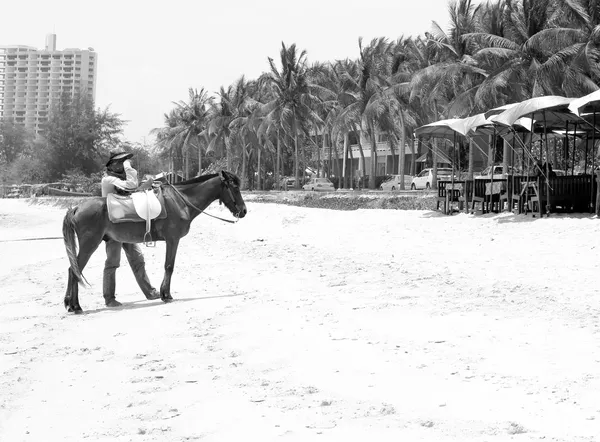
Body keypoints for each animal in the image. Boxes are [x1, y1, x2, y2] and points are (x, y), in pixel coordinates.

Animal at [62, 170, 247, 314]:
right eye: (235, 187)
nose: (244, 211)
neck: (181, 201)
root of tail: (76, 208)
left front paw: (162, 293)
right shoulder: (173, 240)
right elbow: (169, 266)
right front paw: (166, 295)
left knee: (74, 270)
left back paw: (71, 304)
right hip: (89, 245)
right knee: (74, 270)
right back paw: (76, 306)